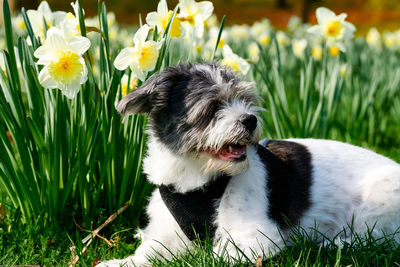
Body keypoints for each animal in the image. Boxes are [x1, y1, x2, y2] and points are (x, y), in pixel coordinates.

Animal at [99, 62, 400, 266]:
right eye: (213, 106)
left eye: (245, 100)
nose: (250, 119)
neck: (197, 179)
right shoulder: (167, 234)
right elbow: (148, 253)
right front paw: (118, 263)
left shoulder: (255, 236)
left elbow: (215, 256)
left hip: (379, 199)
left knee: (373, 239)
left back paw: (331, 244)